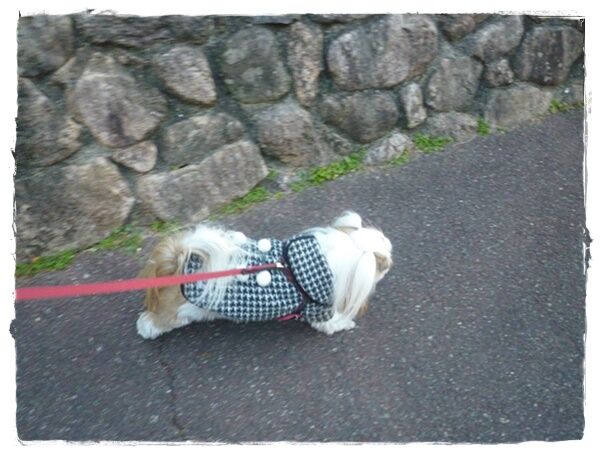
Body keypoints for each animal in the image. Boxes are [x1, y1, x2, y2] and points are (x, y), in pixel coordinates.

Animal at [136, 211, 392, 339]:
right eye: (386, 262)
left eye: (384, 239)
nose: (392, 248)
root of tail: (178, 259)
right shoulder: (320, 310)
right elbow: (332, 323)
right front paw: (345, 323)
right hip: (175, 312)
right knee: (155, 321)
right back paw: (148, 329)